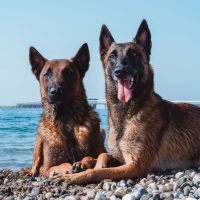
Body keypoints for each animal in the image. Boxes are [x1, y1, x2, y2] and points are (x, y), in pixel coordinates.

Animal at [26, 42, 106, 177]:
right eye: (47, 74)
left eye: (68, 72)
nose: (56, 92)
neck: (66, 121)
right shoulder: (48, 167)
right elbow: (61, 165)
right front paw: (68, 167)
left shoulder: (99, 152)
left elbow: (91, 157)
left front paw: (81, 163)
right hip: (38, 141)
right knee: (35, 164)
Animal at [53, 19, 200, 184]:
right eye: (112, 56)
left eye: (134, 54)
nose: (120, 71)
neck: (126, 113)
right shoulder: (119, 157)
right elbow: (103, 155)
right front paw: (87, 164)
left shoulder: (135, 165)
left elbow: (96, 172)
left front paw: (73, 176)